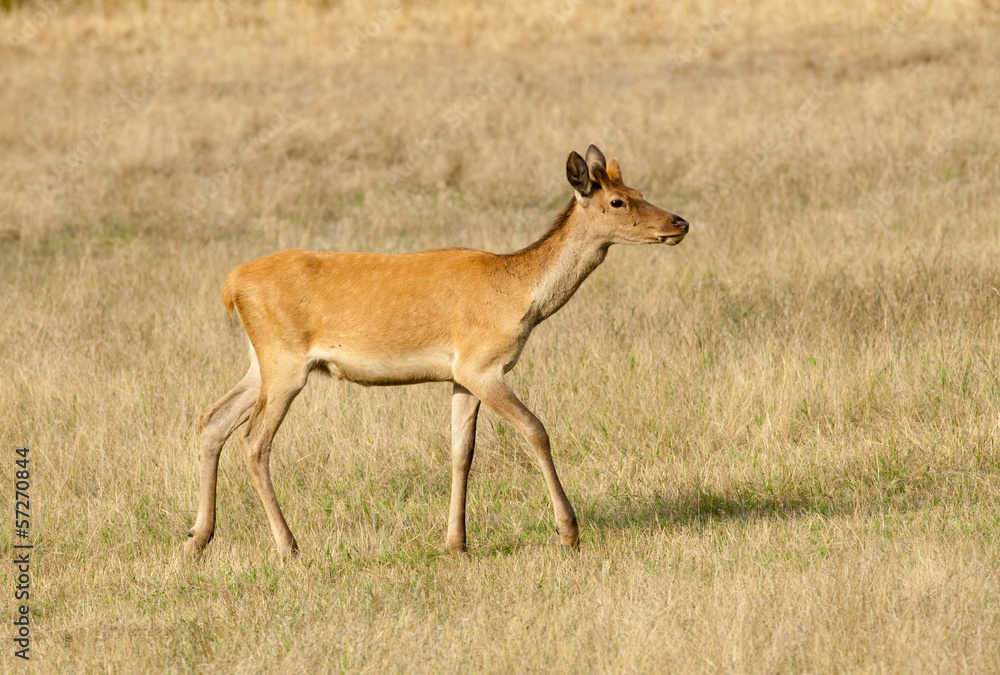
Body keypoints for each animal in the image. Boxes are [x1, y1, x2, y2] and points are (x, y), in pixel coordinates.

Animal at [184, 145, 689, 558]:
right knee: (254, 441)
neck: (520, 298)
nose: (679, 223)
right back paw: (288, 546)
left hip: (261, 363)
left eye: (638, 189)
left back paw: (197, 538)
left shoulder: (459, 377)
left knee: (213, 419)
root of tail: (231, 287)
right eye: (617, 201)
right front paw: (569, 532)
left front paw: (456, 543)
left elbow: (461, 451)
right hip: (285, 363)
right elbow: (536, 430)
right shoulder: (482, 365)